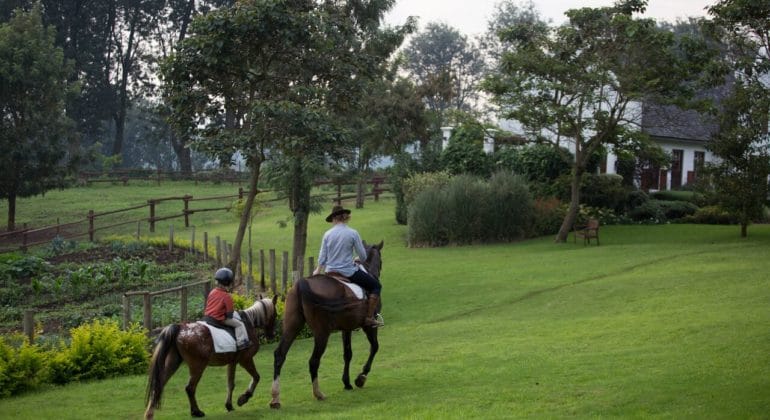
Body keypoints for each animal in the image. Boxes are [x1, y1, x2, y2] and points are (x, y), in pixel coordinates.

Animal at [144, 296, 276, 418]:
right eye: (275, 314)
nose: (271, 336)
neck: (248, 323)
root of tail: (180, 329)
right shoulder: (246, 359)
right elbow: (256, 377)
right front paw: (243, 398)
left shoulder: (232, 362)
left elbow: (230, 384)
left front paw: (229, 405)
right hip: (198, 367)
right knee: (190, 388)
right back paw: (196, 412)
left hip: (173, 363)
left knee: (159, 385)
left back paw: (149, 414)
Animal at [270, 241, 384, 408]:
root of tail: (301, 283)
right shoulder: (369, 325)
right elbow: (374, 347)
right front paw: (361, 378)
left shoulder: (346, 328)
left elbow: (348, 354)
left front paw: (347, 383)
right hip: (322, 333)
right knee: (313, 361)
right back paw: (318, 393)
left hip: (292, 327)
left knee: (280, 355)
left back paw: (275, 398)